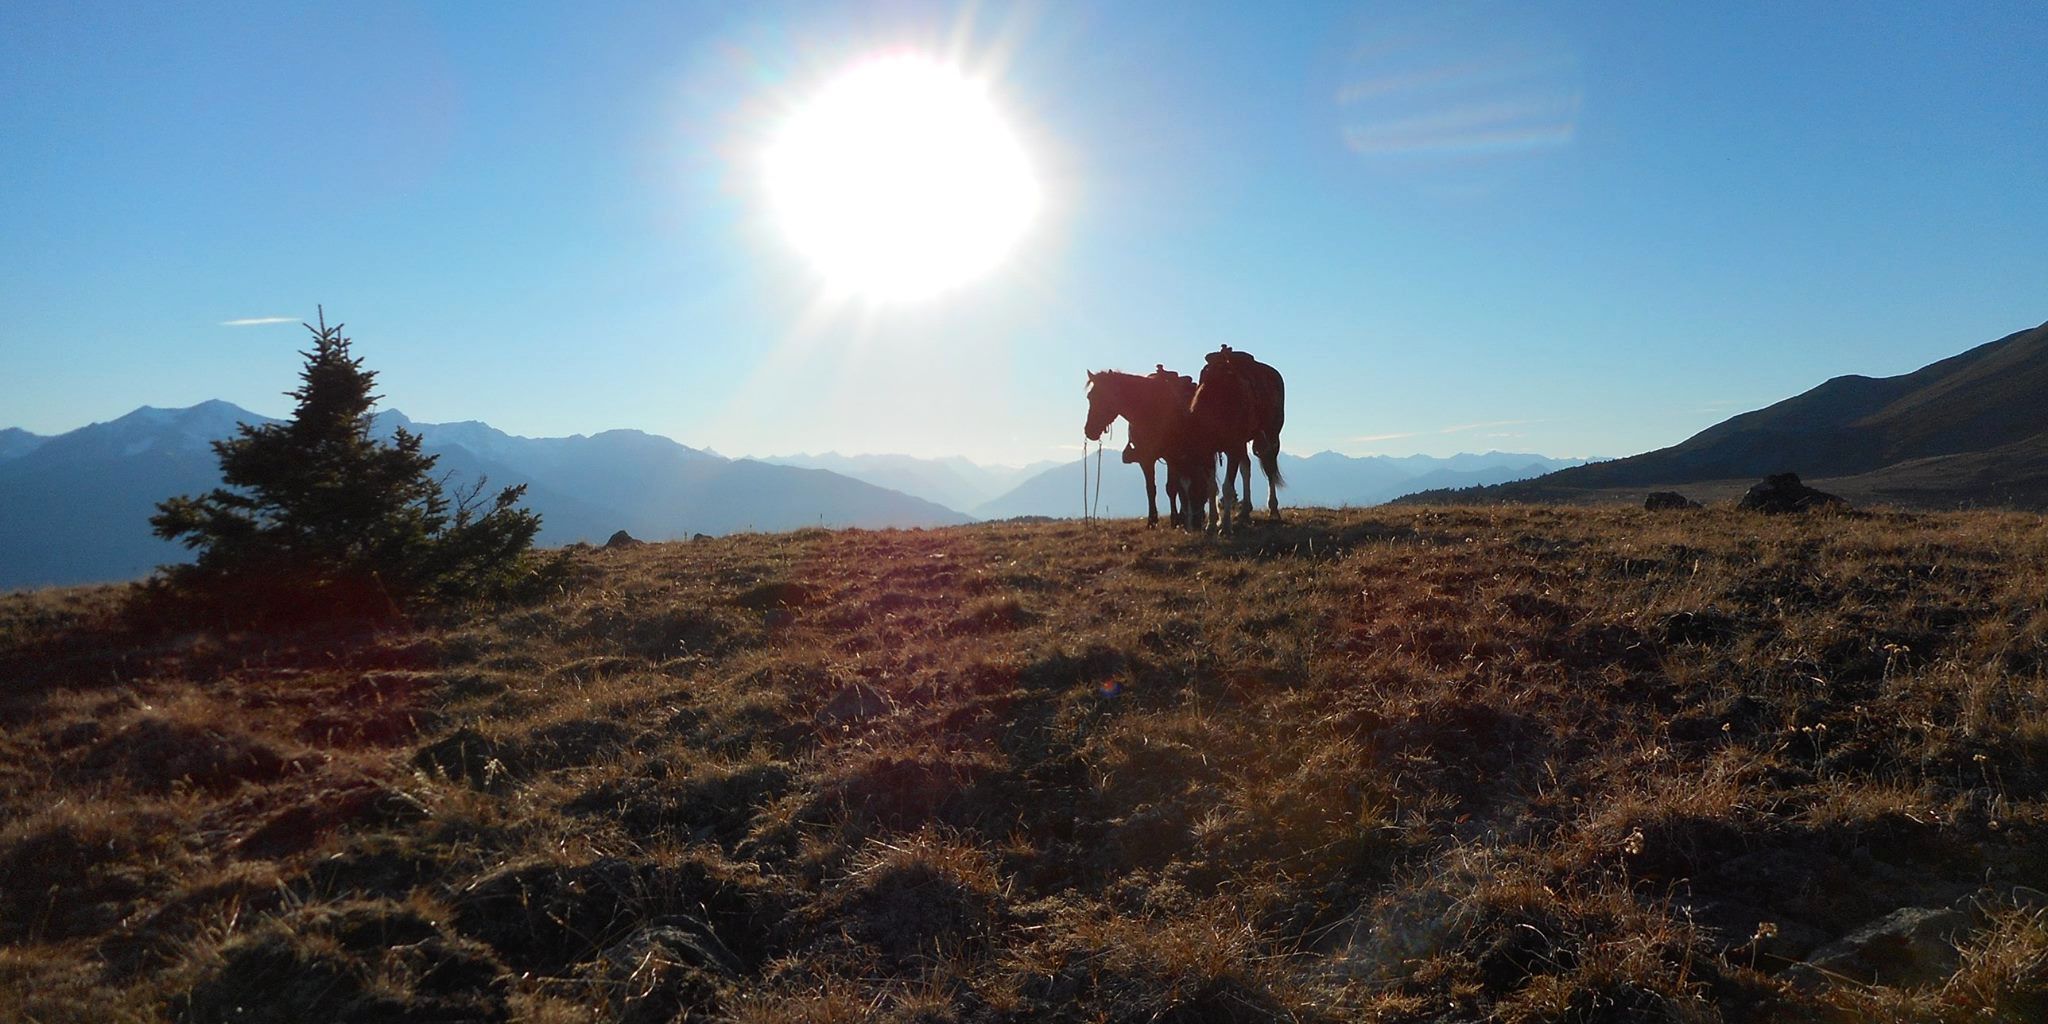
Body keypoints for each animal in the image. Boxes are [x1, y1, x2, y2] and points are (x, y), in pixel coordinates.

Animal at [1084, 367, 1204, 527]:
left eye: (1105, 397)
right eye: (1090, 397)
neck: (1148, 411)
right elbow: (1150, 489)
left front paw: (1174, 520)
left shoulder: (1171, 457)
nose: (1089, 431)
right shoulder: (1146, 458)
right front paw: (1152, 521)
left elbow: (1171, 488)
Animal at [1187, 346, 1285, 529]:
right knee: (1246, 467)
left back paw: (1273, 509)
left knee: (1269, 468)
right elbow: (1212, 486)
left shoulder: (1232, 447)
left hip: (1271, 435)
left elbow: (1227, 487)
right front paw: (1212, 523)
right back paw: (1245, 510)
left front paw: (1225, 525)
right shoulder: (1207, 451)